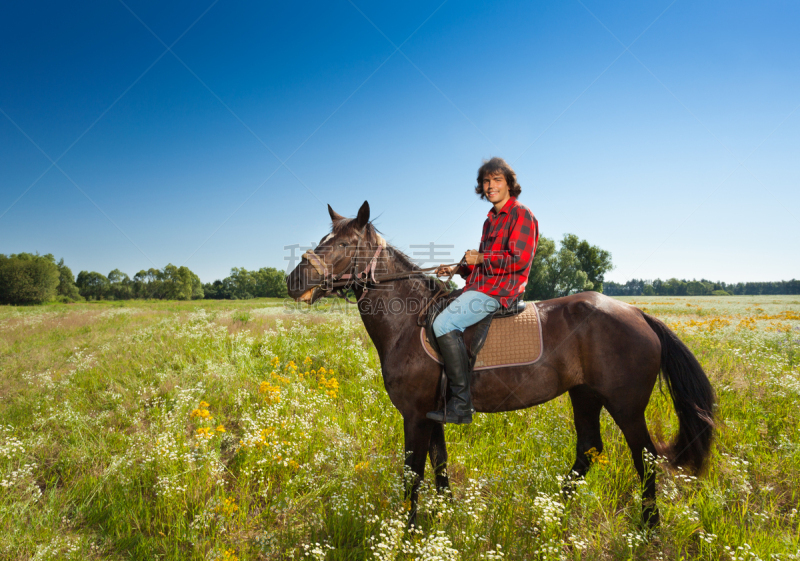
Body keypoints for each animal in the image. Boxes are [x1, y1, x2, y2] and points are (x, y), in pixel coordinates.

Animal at [286, 203, 712, 528]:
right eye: (323, 241)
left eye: (343, 244)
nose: (293, 281)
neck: (408, 322)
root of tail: (638, 314)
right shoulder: (433, 413)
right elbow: (440, 466)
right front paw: (448, 518)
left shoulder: (415, 415)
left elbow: (414, 475)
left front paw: (406, 533)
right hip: (585, 395)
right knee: (589, 448)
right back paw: (550, 514)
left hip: (626, 406)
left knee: (645, 459)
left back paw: (648, 528)